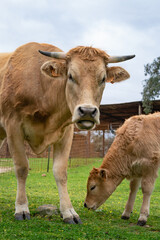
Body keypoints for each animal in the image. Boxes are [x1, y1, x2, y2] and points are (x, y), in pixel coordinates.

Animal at [0, 42, 135, 223]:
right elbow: (22, 168)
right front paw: (21, 208)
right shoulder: (13, 126)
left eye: (103, 78)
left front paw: (68, 211)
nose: (87, 111)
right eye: (70, 76)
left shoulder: (66, 131)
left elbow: (61, 172)